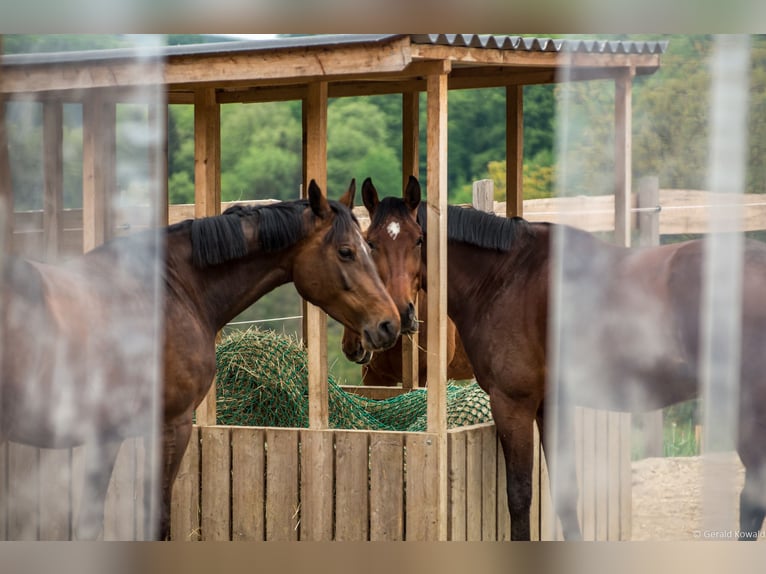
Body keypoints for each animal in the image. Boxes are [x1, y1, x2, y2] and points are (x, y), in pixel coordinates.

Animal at [3, 182, 402, 544]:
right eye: (346, 251)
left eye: (368, 247)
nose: (389, 324)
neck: (174, 291)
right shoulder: (171, 425)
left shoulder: (107, 437)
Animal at [344, 177, 766, 544]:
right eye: (371, 243)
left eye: (418, 240)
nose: (400, 314)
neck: (506, 277)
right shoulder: (550, 404)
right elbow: (564, 493)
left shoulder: (513, 403)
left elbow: (519, 496)